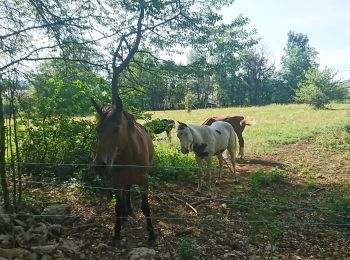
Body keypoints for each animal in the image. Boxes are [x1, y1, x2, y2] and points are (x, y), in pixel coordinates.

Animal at [91, 96, 156, 243]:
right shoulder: (116, 181)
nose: (99, 166)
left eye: (116, 128)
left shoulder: (144, 181)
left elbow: (146, 207)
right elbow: (118, 207)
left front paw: (151, 233)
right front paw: (117, 231)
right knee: (127, 190)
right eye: (97, 129)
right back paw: (126, 212)